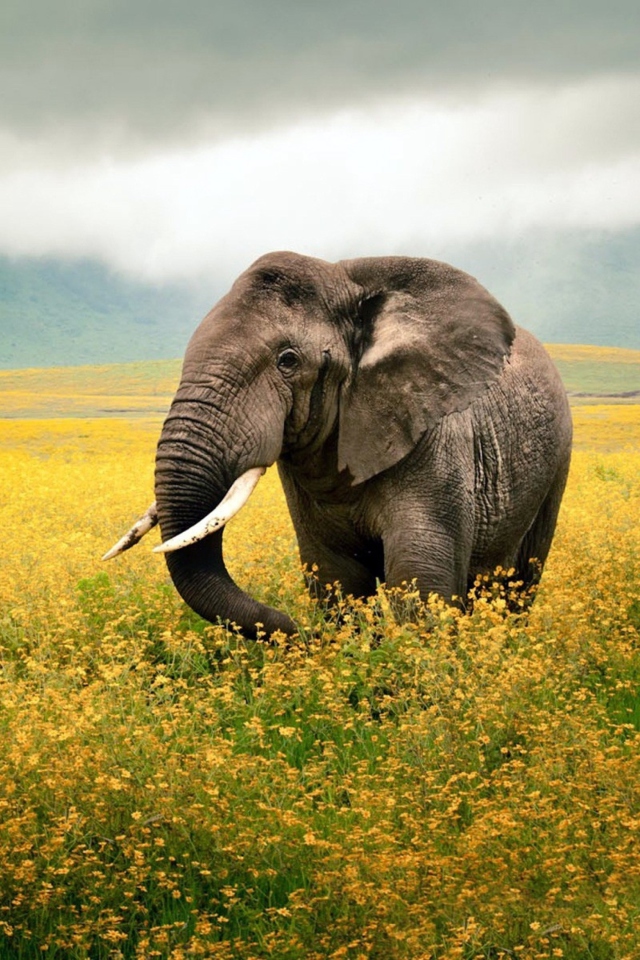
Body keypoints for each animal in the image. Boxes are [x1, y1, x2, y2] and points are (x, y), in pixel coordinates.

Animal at [102, 251, 572, 636]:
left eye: (288, 361)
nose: (295, 629)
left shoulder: (436, 439)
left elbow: (420, 579)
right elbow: (336, 578)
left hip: (557, 463)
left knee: (520, 581)